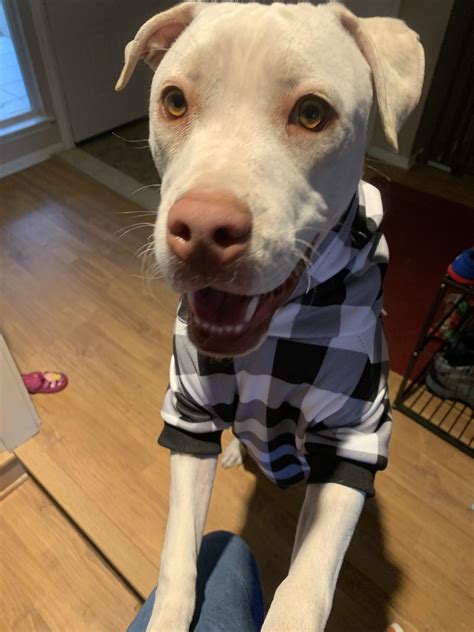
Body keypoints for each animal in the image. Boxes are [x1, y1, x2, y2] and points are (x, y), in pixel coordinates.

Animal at [116, 2, 424, 628]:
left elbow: (307, 584)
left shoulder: (355, 432)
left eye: (312, 113)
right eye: (174, 101)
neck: (271, 342)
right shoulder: (188, 414)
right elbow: (177, 555)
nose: (202, 231)